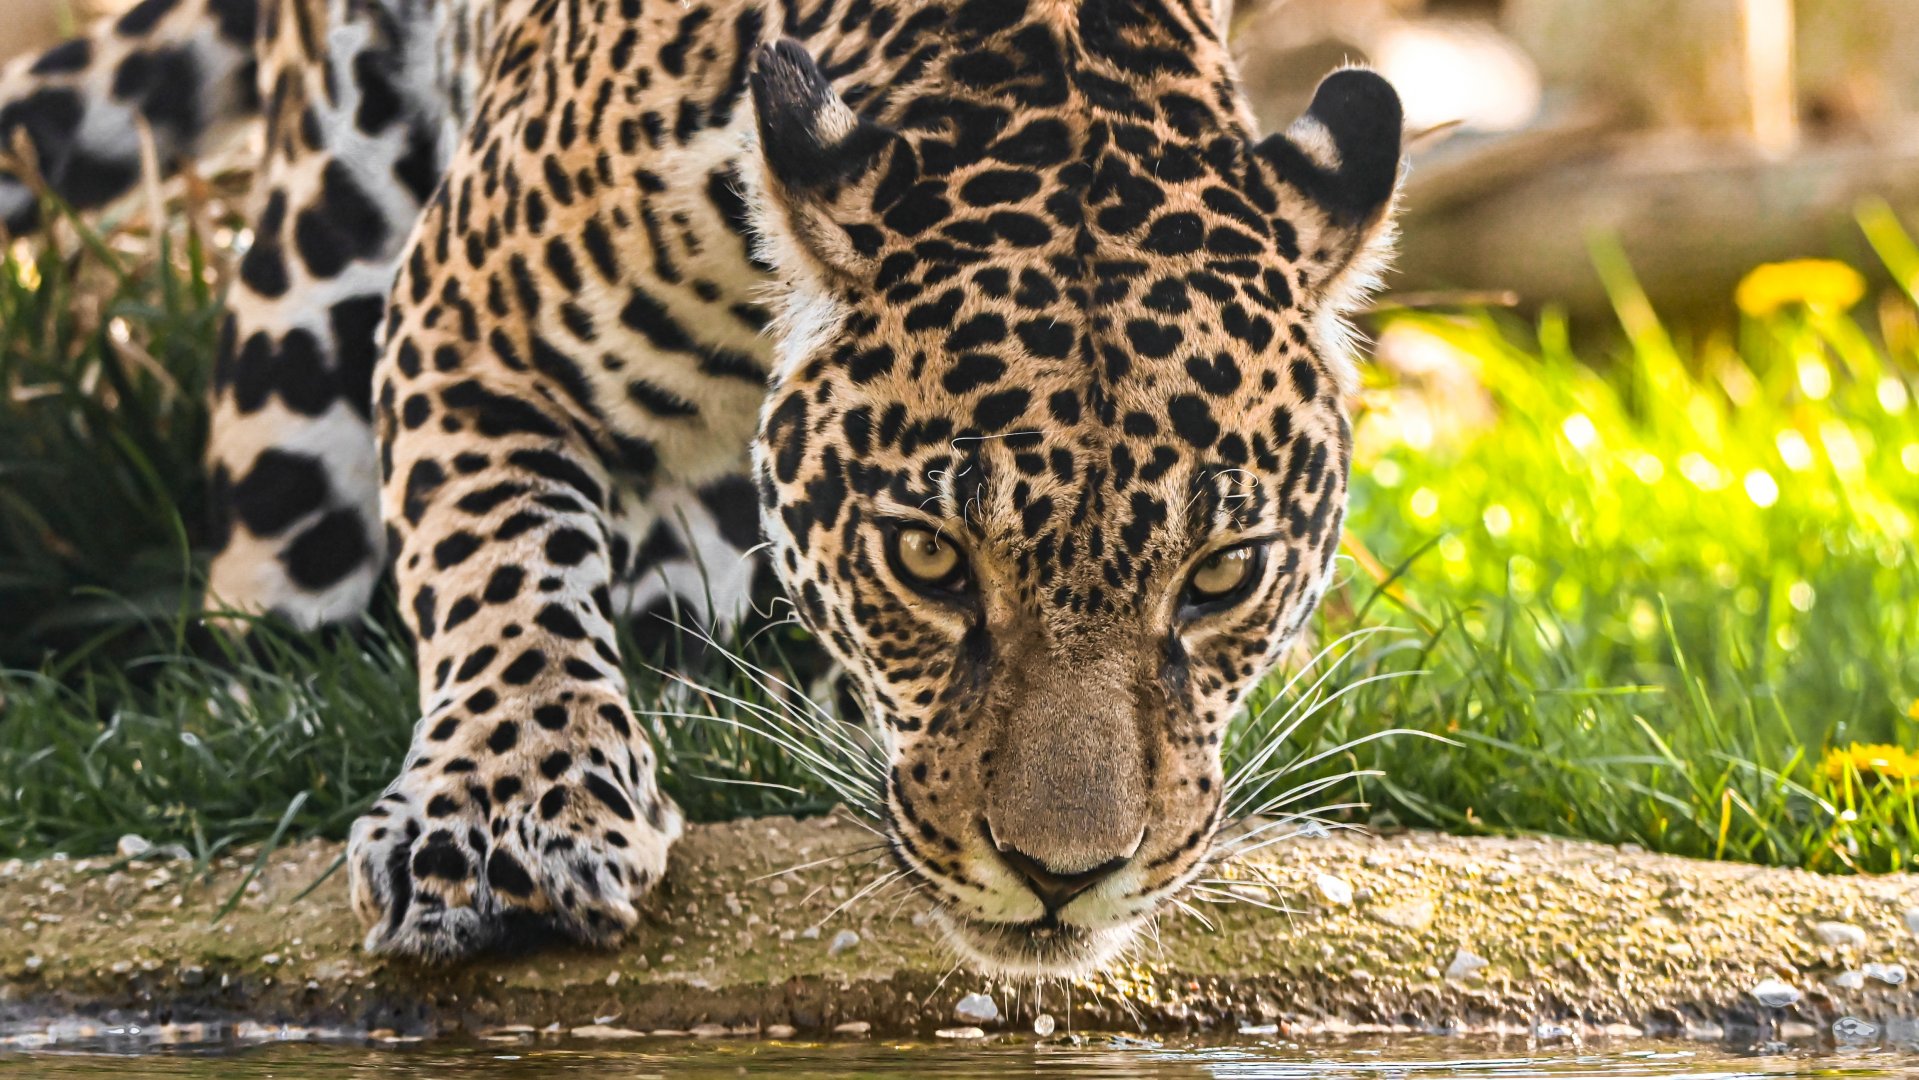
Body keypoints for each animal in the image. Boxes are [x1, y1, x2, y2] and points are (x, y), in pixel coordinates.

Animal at [0, 0, 1403, 975]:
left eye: (1220, 576)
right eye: (929, 559)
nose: (1063, 876)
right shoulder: (468, 315)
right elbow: (499, 569)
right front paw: (506, 817)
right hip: (308, 292)